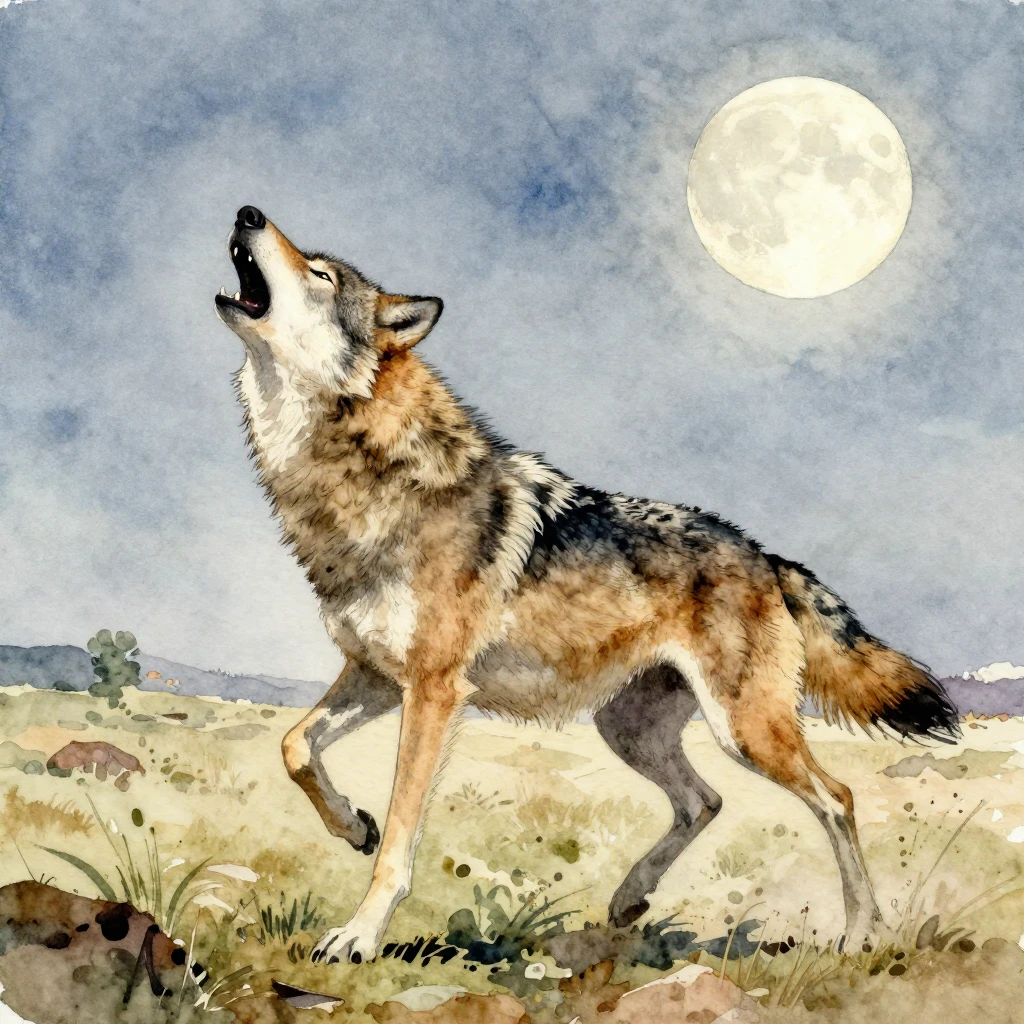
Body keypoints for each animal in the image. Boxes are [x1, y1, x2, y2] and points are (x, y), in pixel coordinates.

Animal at [215, 205, 959, 966]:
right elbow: (296, 749)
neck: (362, 475)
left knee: (835, 797)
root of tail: (766, 555)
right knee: (705, 801)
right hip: (627, 729)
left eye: (322, 274)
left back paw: (861, 932)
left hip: (745, 731)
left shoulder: (433, 689)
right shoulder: (374, 675)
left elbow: (399, 835)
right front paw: (351, 825)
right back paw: (630, 898)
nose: (247, 213)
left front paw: (359, 935)